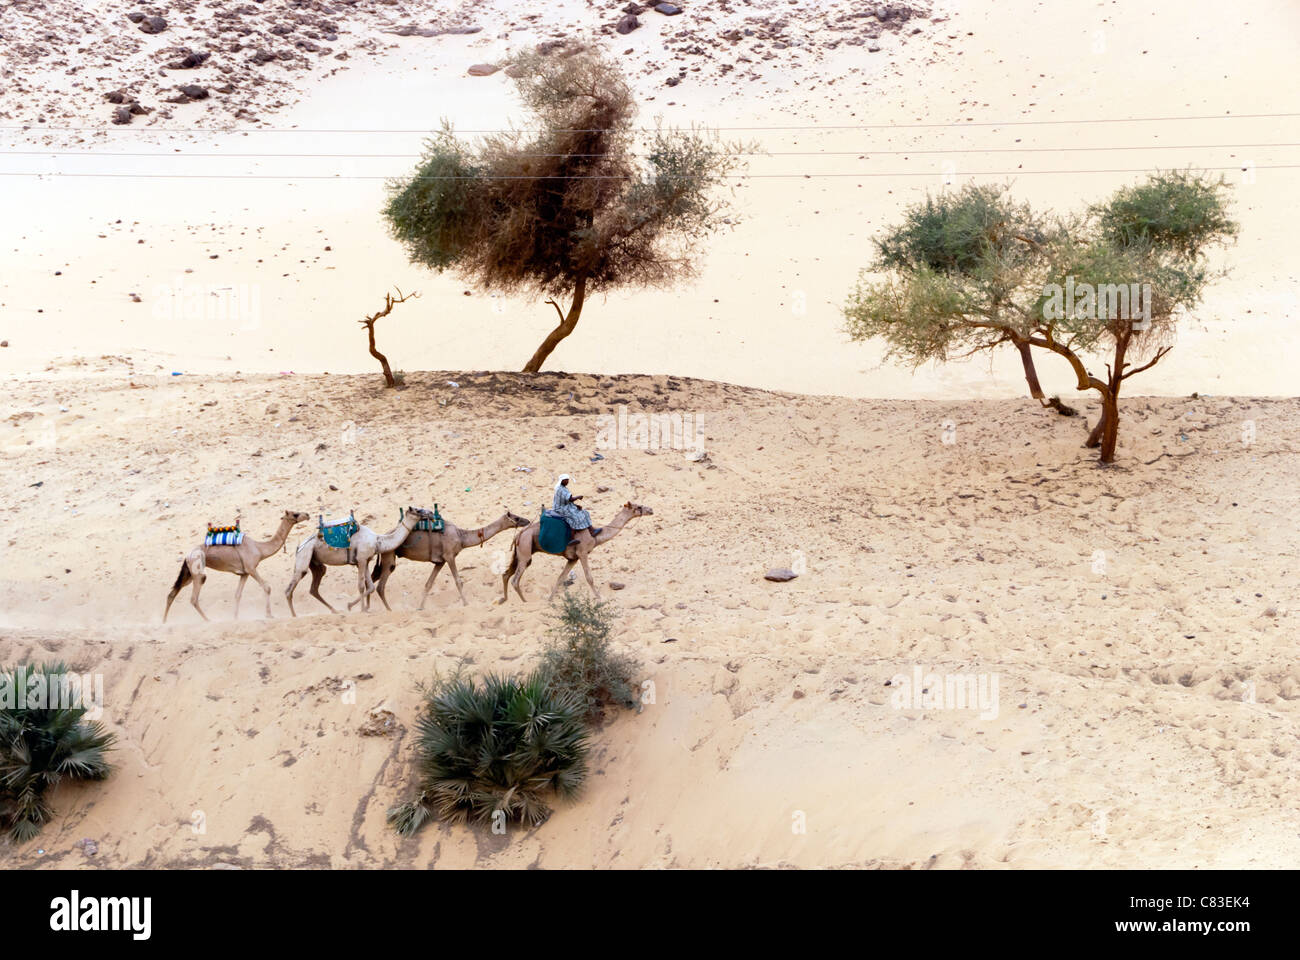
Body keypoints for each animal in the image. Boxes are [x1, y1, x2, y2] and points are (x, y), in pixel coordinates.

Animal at [163, 509, 310, 621]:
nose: (307, 514)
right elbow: (267, 587)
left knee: (172, 593)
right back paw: (208, 620)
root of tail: (188, 555)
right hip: (198, 570)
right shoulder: (251, 568)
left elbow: (237, 594)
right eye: (295, 514)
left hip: (188, 573)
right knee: (194, 598)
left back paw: (164, 621)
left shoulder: (244, 573)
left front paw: (235, 617)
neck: (259, 549)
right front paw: (269, 615)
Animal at [283, 504, 434, 616]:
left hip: (315, 562)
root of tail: (299, 546)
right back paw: (294, 615)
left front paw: (354, 606)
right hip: (304, 557)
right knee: (290, 588)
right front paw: (359, 609)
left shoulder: (365, 560)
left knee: (314, 587)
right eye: (418, 510)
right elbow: (362, 586)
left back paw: (334, 610)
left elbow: (370, 587)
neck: (378, 540)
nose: (431, 513)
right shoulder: (361, 559)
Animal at [369, 509, 530, 606]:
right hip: (389, 555)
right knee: (380, 585)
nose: (527, 521)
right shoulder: (450, 556)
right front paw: (466, 604)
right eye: (516, 517)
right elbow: (458, 581)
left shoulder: (440, 561)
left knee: (372, 578)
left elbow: (428, 584)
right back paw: (387, 609)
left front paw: (420, 607)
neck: (461, 536)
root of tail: (380, 537)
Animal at [501, 496, 655, 600]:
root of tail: (519, 535)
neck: (595, 536)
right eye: (638, 507)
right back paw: (525, 602)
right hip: (525, 551)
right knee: (515, 580)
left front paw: (550, 599)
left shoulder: (572, 558)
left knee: (507, 574)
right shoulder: (582, 552)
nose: (650, 509)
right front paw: (599, 597)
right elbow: (589, 578)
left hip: (520, 553)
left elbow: (561, 578)